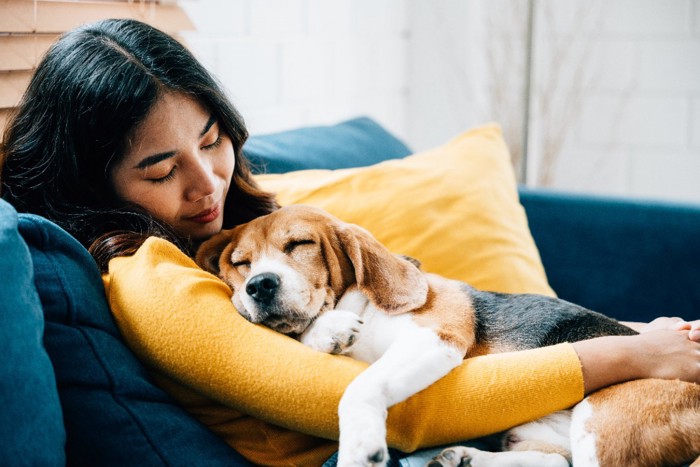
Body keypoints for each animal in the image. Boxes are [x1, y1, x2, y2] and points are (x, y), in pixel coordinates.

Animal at [196, 207, 700, 467]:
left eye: (299, 244)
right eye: (240, 262)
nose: (259, 285)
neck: (362, 306)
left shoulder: (435, 337)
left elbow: (360, 386)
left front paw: (359, 448)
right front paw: (327, 332)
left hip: (603, 424)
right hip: (531, 433)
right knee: (556, 461)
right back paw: (466, 458)